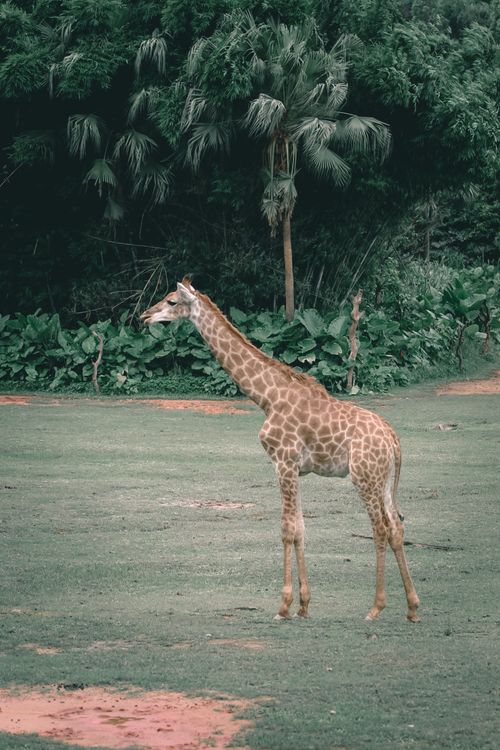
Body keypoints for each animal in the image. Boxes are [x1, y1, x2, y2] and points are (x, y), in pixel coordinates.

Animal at [141, 278, 420, 622]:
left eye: (171, 301)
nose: (144, 316)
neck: (266, 398)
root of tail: (394, 440)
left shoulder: (283, 462)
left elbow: (287, 529)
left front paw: (283, 605)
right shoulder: (296, 469)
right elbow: (300, 528)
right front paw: (303, 605)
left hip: (364, 477)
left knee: (380, 528)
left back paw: (376, 607)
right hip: (384, 481)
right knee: (397, 527)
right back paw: (412, 607)